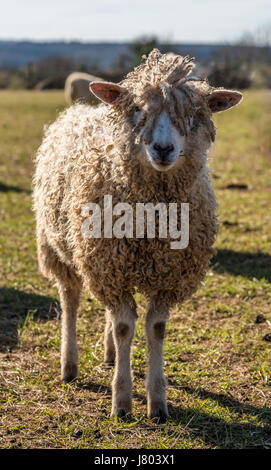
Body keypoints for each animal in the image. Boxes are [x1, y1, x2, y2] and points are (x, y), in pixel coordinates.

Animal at [33, 49, 243, 420]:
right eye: (138, 112)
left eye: (193, 115)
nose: (163, 149)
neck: (151, 220)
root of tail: (80, 110)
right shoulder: (110, 269)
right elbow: (124, 328)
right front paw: (121, 400)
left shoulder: (166, 275)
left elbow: (154, 328)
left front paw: (157, 402)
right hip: (60, 248)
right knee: (71, 301)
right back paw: (69, 365)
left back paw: (109, 354)